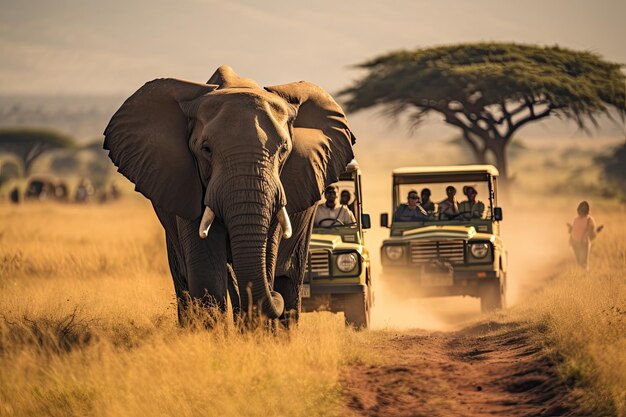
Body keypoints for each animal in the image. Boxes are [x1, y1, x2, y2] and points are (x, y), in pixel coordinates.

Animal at [105, 66, 354, 324]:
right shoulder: (187, 183)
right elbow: (206, 271)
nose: (273, 296)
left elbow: (267, 256)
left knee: (290, 280)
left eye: (284, 150)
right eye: (206, 149)